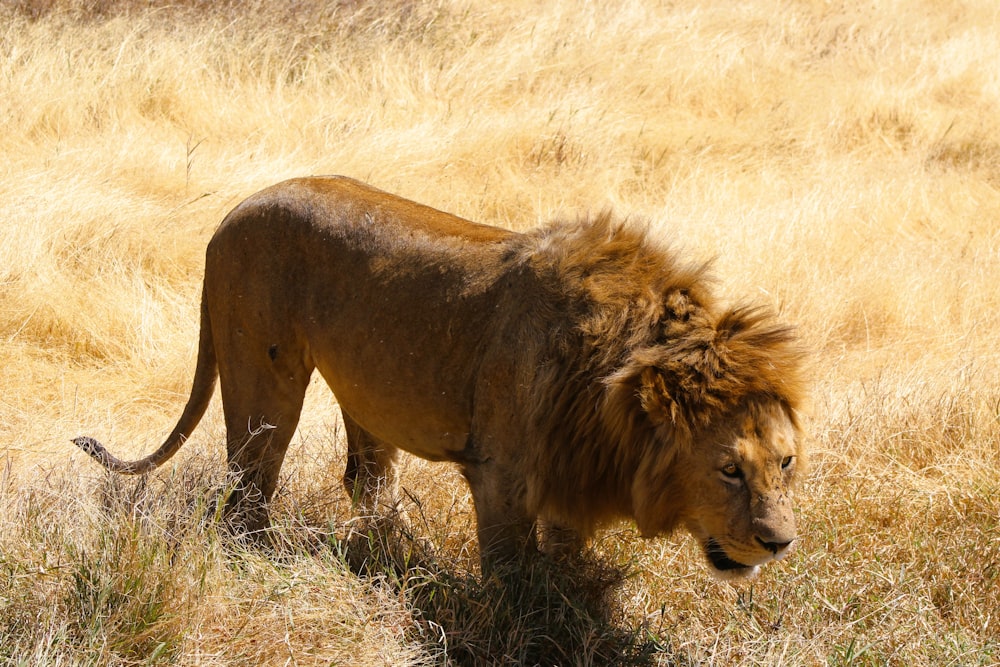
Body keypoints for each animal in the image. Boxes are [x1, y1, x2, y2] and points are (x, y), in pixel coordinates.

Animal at [74, 176, 804, 580]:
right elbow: (514, 579)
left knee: (365, 480)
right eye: (729, 469)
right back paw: (264, 558)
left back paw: (406, 557)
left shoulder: (567, 479)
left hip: (366, 385)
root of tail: (233, 211)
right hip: (265, 375)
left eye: (786, 461)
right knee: (248, 483)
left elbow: (566, 563)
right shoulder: (503, 475)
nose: (780, 542)